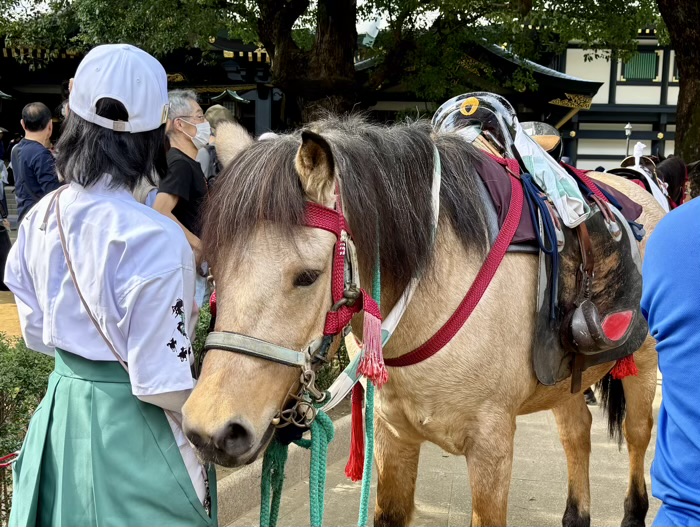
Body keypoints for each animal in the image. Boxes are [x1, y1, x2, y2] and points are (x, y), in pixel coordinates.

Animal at [182, 116, 664, 527]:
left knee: (638, 435)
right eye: (213, 271)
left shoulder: (491, 446)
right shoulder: (393, 434)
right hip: (564, 379)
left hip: (644, 361)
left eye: (308, 276)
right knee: (576, 433)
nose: (210, 431)